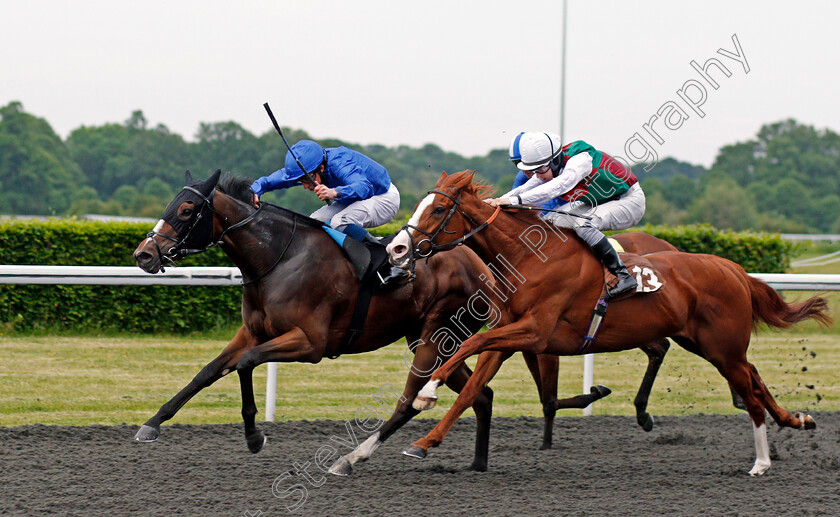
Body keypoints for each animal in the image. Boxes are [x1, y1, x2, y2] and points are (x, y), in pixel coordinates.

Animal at [388, 170, 832, 476]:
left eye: (439, 209)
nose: (397, 248)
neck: (530, 257)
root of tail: (734, 269)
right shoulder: (508, 337)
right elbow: (471, 387)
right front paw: (424, 439)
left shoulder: (535, 332)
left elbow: (467, 346)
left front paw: (426, 392)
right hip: (708, 344)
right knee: (754, 376)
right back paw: (796, 420)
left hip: (722, 347)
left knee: (750, 392)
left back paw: (761, 462)